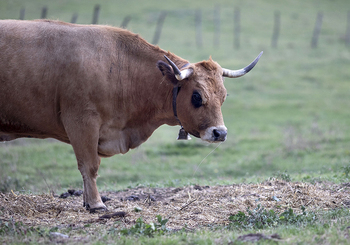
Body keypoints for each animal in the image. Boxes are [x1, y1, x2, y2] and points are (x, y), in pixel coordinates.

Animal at [0, 19, 262, 212]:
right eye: (197, 96)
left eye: (224, 96)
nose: (220, 133)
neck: (118, 67)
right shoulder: (82, 123)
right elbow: (89, 165)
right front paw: (95, 203)